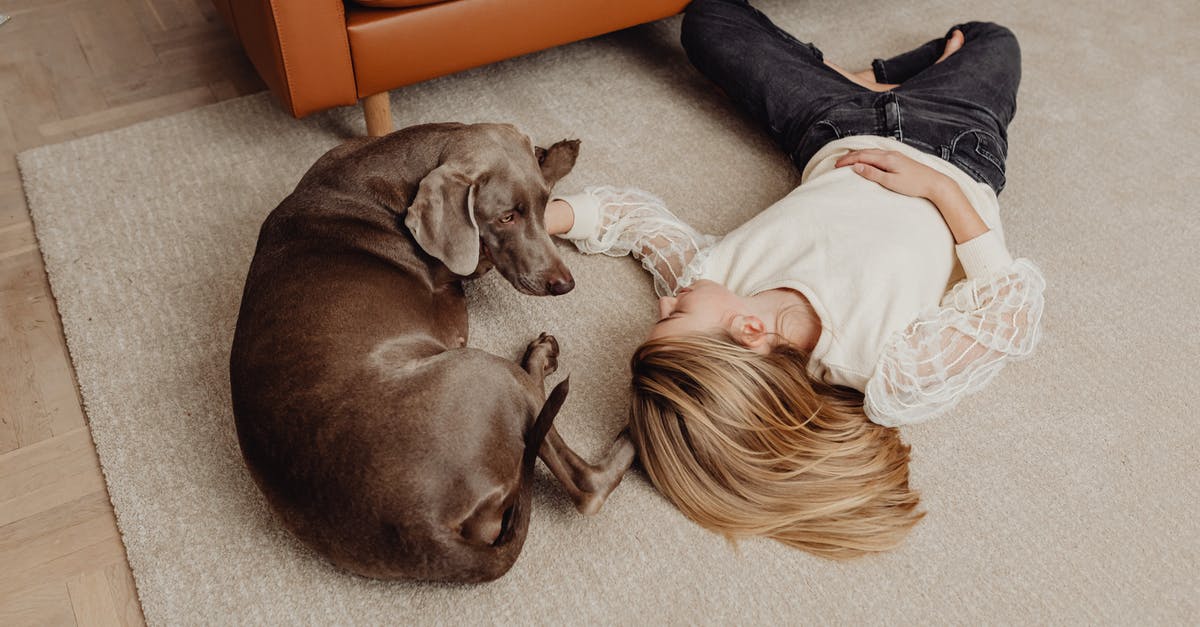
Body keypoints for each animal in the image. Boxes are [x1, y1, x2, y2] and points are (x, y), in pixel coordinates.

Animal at [228, 121, 633, 581]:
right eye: (506, 217)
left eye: (542, 206)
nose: (564, 284)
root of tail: (428, 530)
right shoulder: (461, 272)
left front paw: (557, 153)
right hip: (485, 371)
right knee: (585, 484)